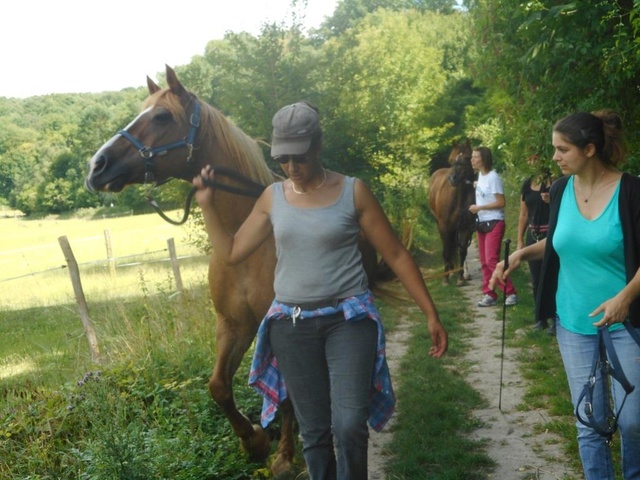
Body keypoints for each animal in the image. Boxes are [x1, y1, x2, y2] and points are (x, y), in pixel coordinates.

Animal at [84, 66, 296, 472]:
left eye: (162, 117)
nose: (96, 166)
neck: (245, 238)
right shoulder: (233, 324)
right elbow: (218, 386)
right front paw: (255, 441)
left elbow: (291, 393)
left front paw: (285, 457)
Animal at [430, 141, 476, 286]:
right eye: (450, 160)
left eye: (467, 158)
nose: (453, 178)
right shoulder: (444, 227)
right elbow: (446, 250)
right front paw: (445, 278)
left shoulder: (465, 227)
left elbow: (462, 251)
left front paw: (461, 277)